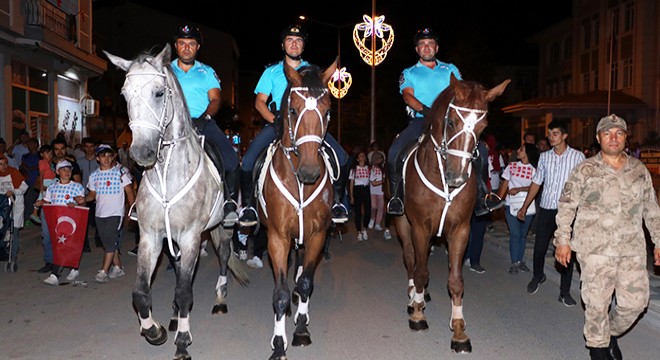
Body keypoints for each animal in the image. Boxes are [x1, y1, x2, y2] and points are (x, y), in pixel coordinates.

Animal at [104, 44, 249, 360]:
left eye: (159, 92)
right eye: (125, 94)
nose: (142, 152)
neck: (168, 174)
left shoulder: (192, 236)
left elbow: (185, 291)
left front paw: (182, 341)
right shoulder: (151, 235)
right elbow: (140, 292)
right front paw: (154, 330)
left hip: (222, 227)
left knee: (223, 255)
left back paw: (220, 300)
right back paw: (171, 317)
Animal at [258, 61, 338, 360]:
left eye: (327, 111)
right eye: (292, 110)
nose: (310, 172)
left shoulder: (317, 235)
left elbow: (306, 283)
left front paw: (302, 329)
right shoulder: (277, 237)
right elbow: (279, 293)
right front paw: (279, 343)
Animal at [392, 74, 510, 352]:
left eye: (483, 126)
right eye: (451, 121)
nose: (457, 176)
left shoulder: (460, 230)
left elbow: (456, 281)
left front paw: (458, 332)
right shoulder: (420, 228)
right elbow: (420, 271)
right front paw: (418, 315)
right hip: (403, 224)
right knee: (411, 260)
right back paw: (414, 299)